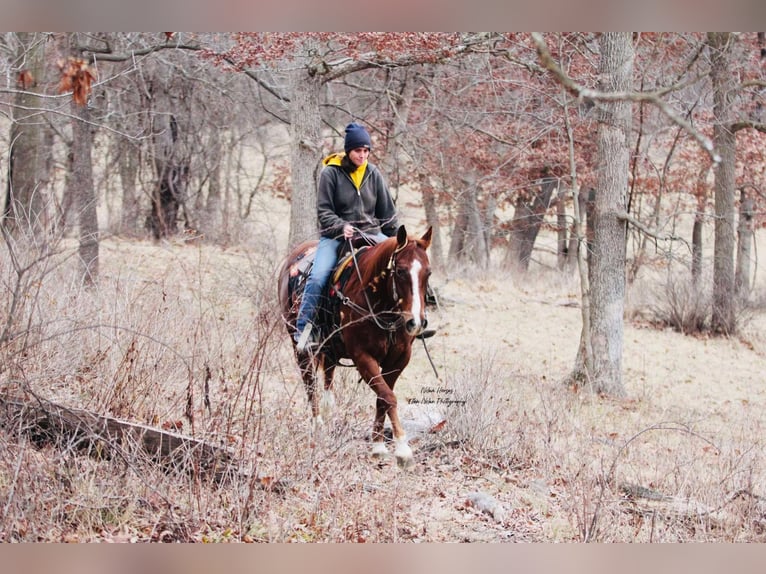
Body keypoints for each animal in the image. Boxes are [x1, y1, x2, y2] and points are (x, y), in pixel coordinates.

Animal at [278, 225, 436, 468]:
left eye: (427, 272)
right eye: (400, 271)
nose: (416, 322)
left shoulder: (399, 359)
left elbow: (383, 398)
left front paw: (378, 446)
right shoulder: (363, 357)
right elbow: (388, 397)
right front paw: (402, 449)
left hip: (330, 349)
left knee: (328, 375)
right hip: (299, 345)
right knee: (309, 382)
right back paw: (317, 424)